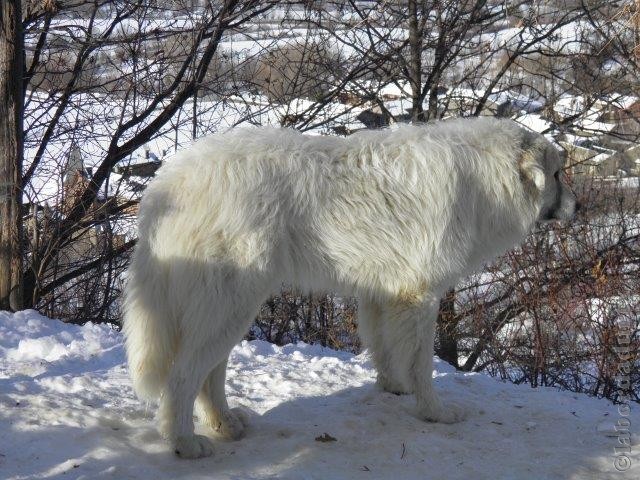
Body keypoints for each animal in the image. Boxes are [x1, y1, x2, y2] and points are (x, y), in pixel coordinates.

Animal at [122, 115, 576, 458]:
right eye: (557, 174)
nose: (580, 205)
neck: (485, 181)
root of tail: (168, 181)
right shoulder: (422, 296)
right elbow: (422, 365)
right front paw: (433, 412)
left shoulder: (381, 292)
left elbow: (384, 347)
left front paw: (392, 387)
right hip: (230, 303)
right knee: (184, 375)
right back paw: (184, 442)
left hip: (231, 308)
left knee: (209, 373)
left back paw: (225, 424)